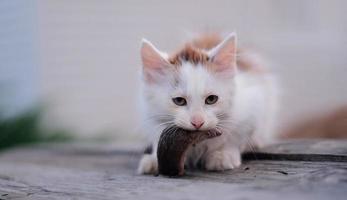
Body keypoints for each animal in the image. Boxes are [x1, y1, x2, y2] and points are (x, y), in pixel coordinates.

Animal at [137, 32, 278, 173]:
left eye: (211, 99)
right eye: (179, 101)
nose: (197, 122)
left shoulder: (251, 107)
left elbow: (235, 138)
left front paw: (222, 155)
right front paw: (154, 160)